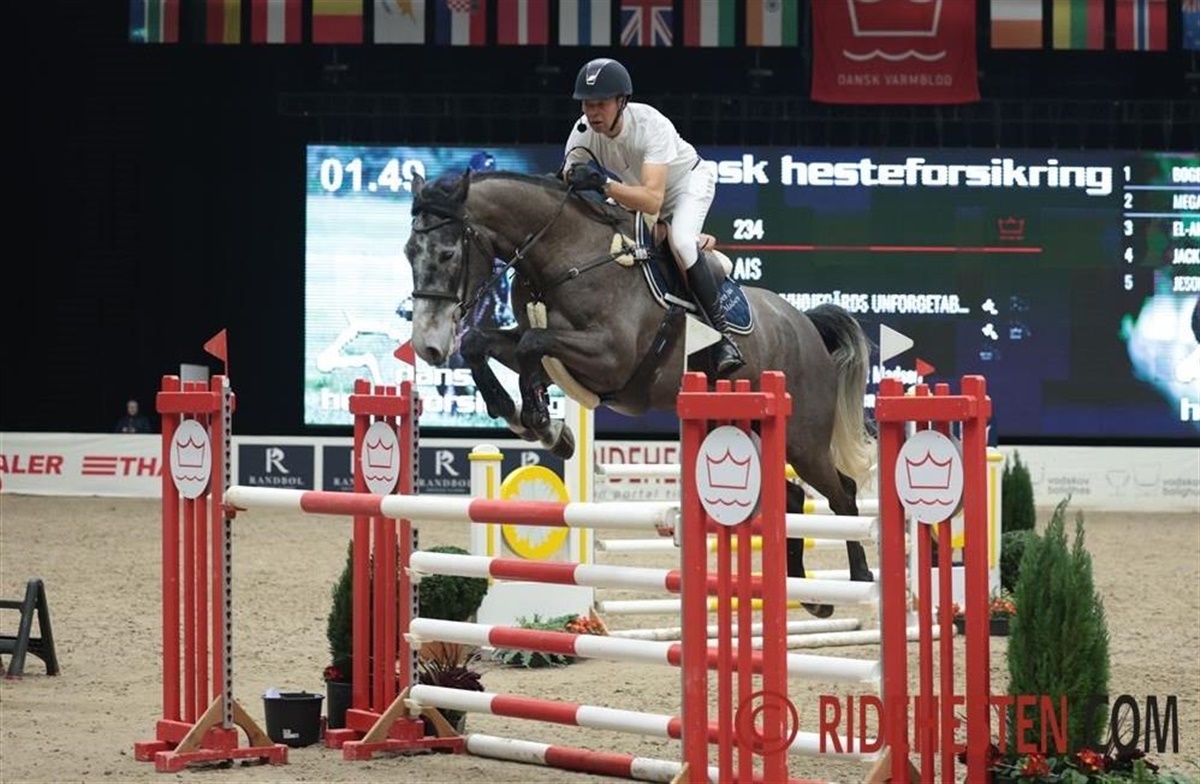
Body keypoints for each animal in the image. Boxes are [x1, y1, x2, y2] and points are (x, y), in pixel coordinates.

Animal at [403, 169, 876, 615]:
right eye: (409, 251)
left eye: (447, 253)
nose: (427, 346)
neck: (565, 256)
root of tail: (804, 324)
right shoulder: (552, 349)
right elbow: (483, 343)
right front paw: (534, 421)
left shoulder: (610, 357)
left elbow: (529, 346)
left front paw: (541, 422)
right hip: (746, 425)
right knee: (792, 495)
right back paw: (807, 592)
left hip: (803, 439)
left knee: (843, 493)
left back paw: (860, 579)